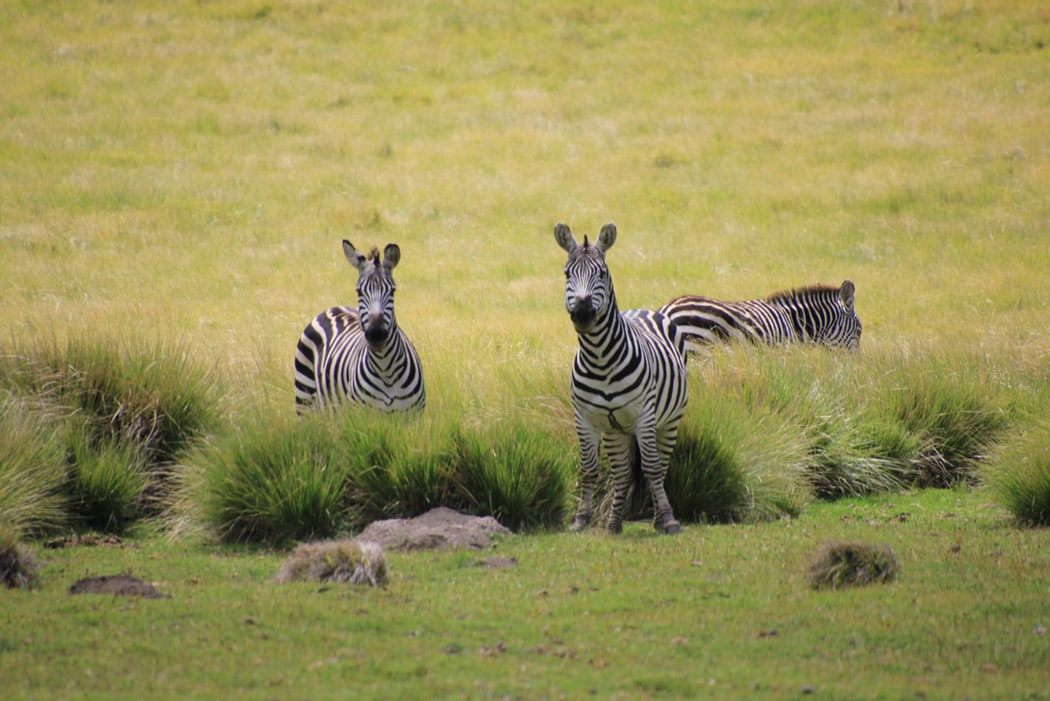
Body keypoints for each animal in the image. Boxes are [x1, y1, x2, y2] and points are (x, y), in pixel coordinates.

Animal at [294, 241, 424, 413]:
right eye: (359, 291)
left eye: (392, 291)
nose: (376, 335)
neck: (386, 371)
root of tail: (335, 307)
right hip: (304, 399)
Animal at [554, 224, 692, 537]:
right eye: (567, 273)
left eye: (602, 273)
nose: (583, 314)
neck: (600, 358)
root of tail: (643, 309)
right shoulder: (586, 419)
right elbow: (589, 469)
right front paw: (581, 519)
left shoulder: (644, 416)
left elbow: (652, 468)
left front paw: (669, 520)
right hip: (615, 430)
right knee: (622, 472)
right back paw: (614, 521)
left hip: (669, 420)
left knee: (661, 465)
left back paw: (657, 518)